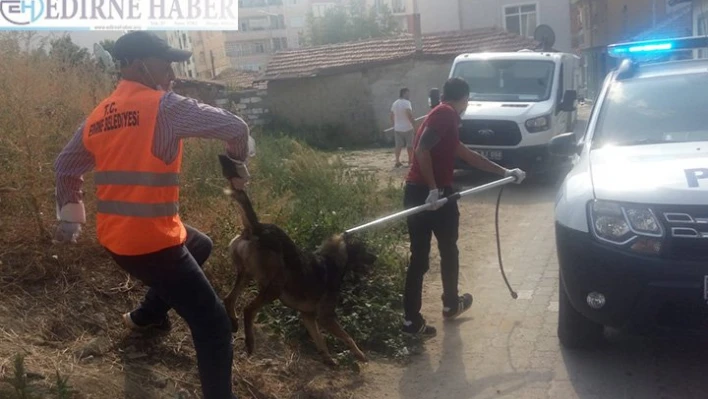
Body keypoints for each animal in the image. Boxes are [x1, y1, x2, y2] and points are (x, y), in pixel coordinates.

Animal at [223, 180, 378, 368]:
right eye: (364, 249)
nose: (376, 258)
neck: (332, 260)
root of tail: (258, 227)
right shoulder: (326, 316)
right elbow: (347, 337)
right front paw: (360, 354)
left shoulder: (308, 316)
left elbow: (320, 339)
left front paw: (328, 359)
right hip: (274, 287)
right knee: (248, 310)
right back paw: (250, 342)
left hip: (246, 275)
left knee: (229, 299)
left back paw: (233, 322)